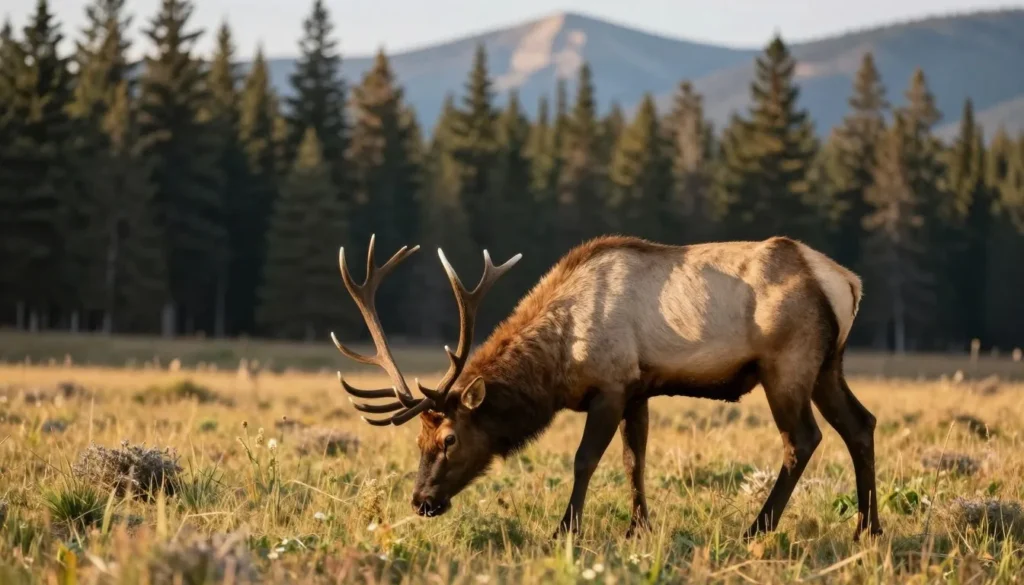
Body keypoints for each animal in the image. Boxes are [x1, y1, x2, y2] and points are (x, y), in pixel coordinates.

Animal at [331, 234, 882, 541]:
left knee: (802, 439)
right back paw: (867, 528)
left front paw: (565, 529)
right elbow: (635, 459)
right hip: (829, 365)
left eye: (449, 439)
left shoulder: (612, 386)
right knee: (861, 424)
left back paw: (757, 529)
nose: (421, 501)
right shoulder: (639, 389)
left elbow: (586, 459)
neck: (558, 362)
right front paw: (639, 527)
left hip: (787, 363)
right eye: (418, 440)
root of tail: (848, 282)